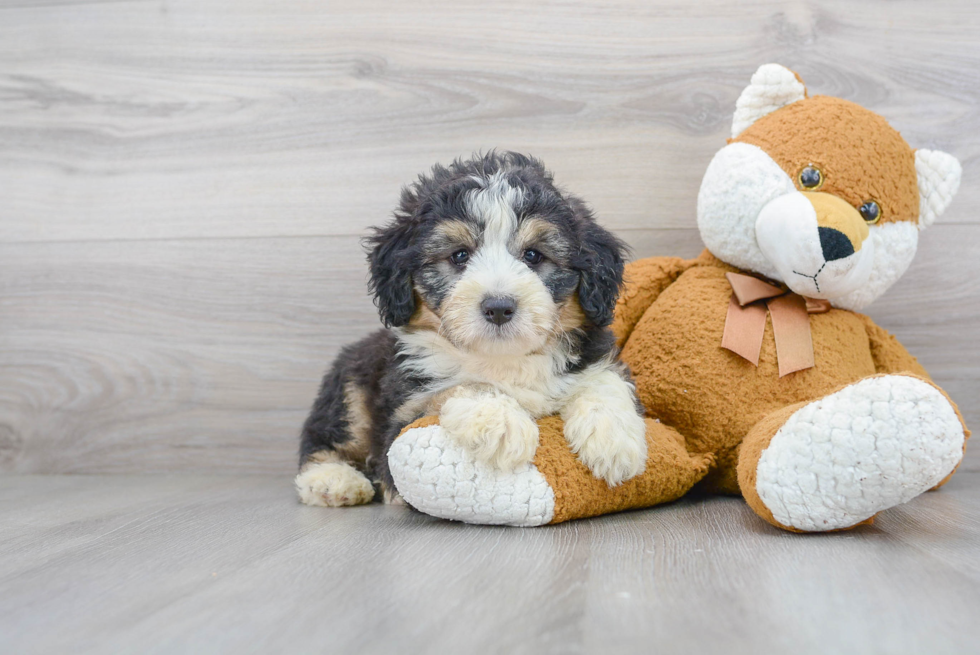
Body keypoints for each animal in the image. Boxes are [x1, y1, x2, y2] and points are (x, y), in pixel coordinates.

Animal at [294, 152, 648, 508]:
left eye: (534, 255)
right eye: (459, 255)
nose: (499, 307)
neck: (502, 359)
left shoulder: (591, 356)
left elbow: (603, 378)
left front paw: (614, 440)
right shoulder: (400, 419)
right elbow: (458, 386)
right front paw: (501, 423)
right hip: (351, 387)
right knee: (325, 440)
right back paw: (332, 480)